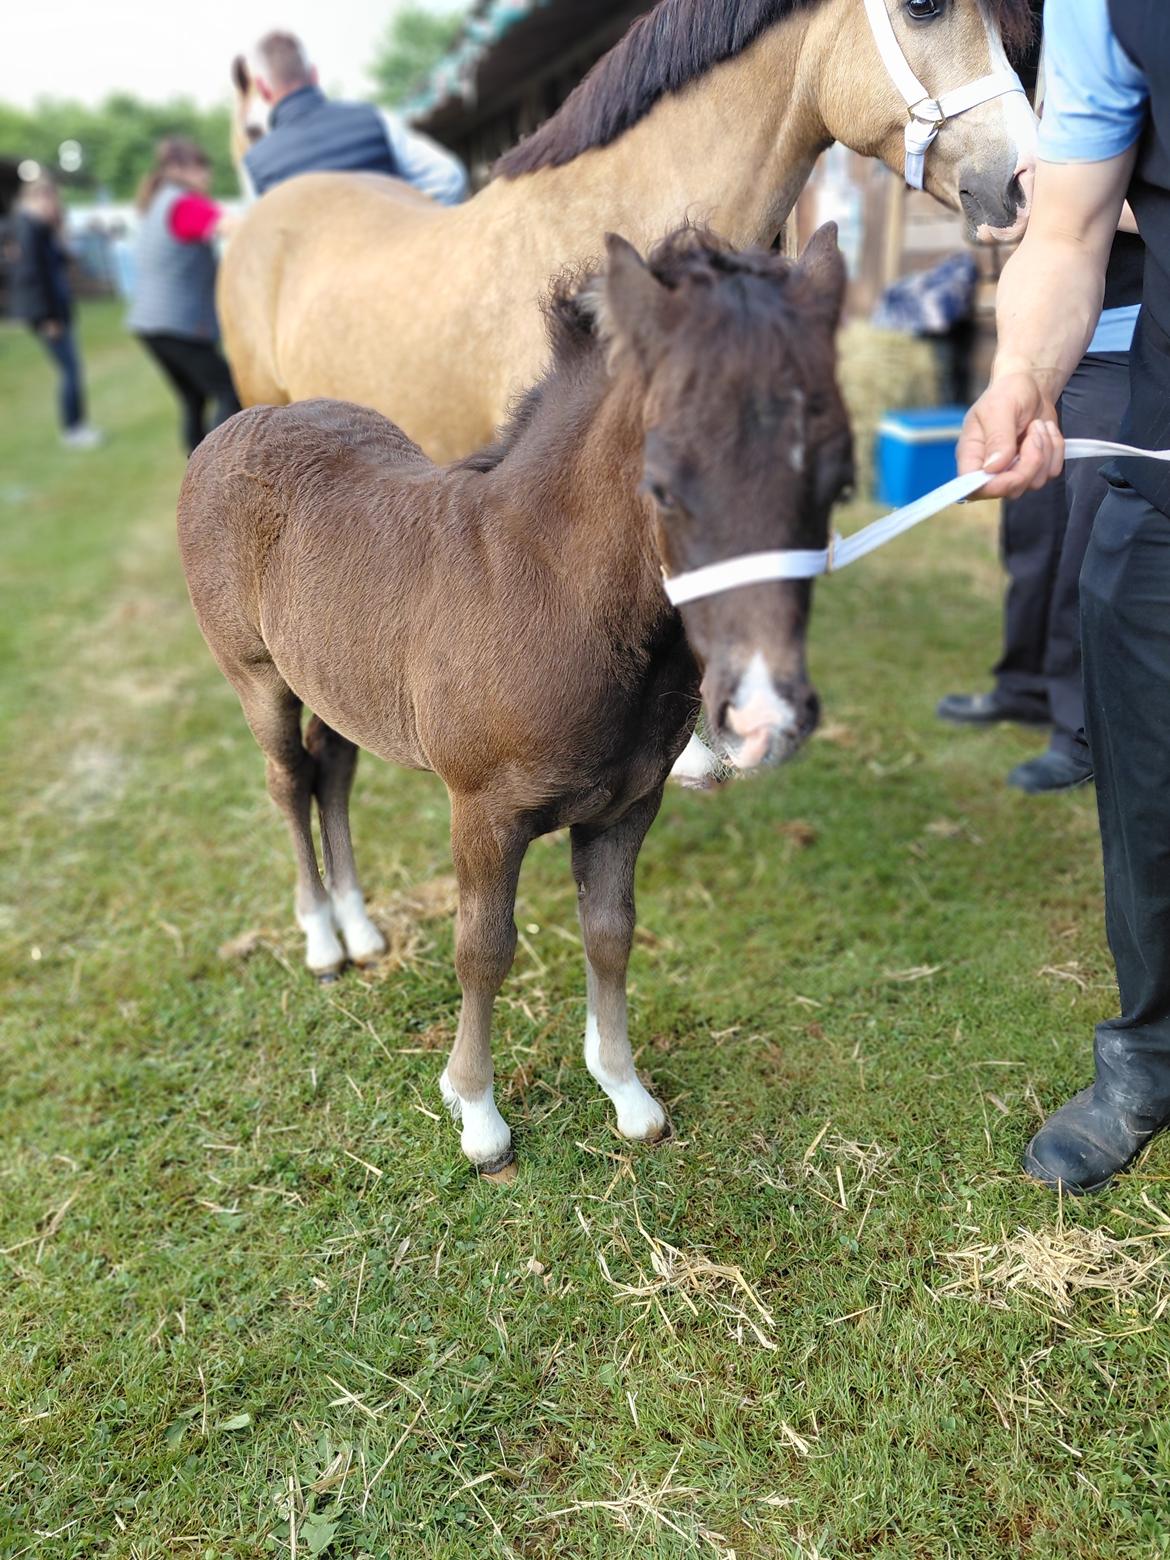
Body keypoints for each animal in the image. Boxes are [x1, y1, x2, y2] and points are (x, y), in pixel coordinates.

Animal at [179, 224, 854, 1178]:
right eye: (663, 484)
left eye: (836, 482)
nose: (766, 716)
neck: (553, 594)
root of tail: (234, 423)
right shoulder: (483, 812)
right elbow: (484, 950)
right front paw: (477, 1115)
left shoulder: (627, 805)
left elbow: (610, 931)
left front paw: (626, 1092)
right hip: (256, 677)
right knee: (286, 780)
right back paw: (321, 940)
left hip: (342, 683)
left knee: (332, 771)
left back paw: (361, 928)